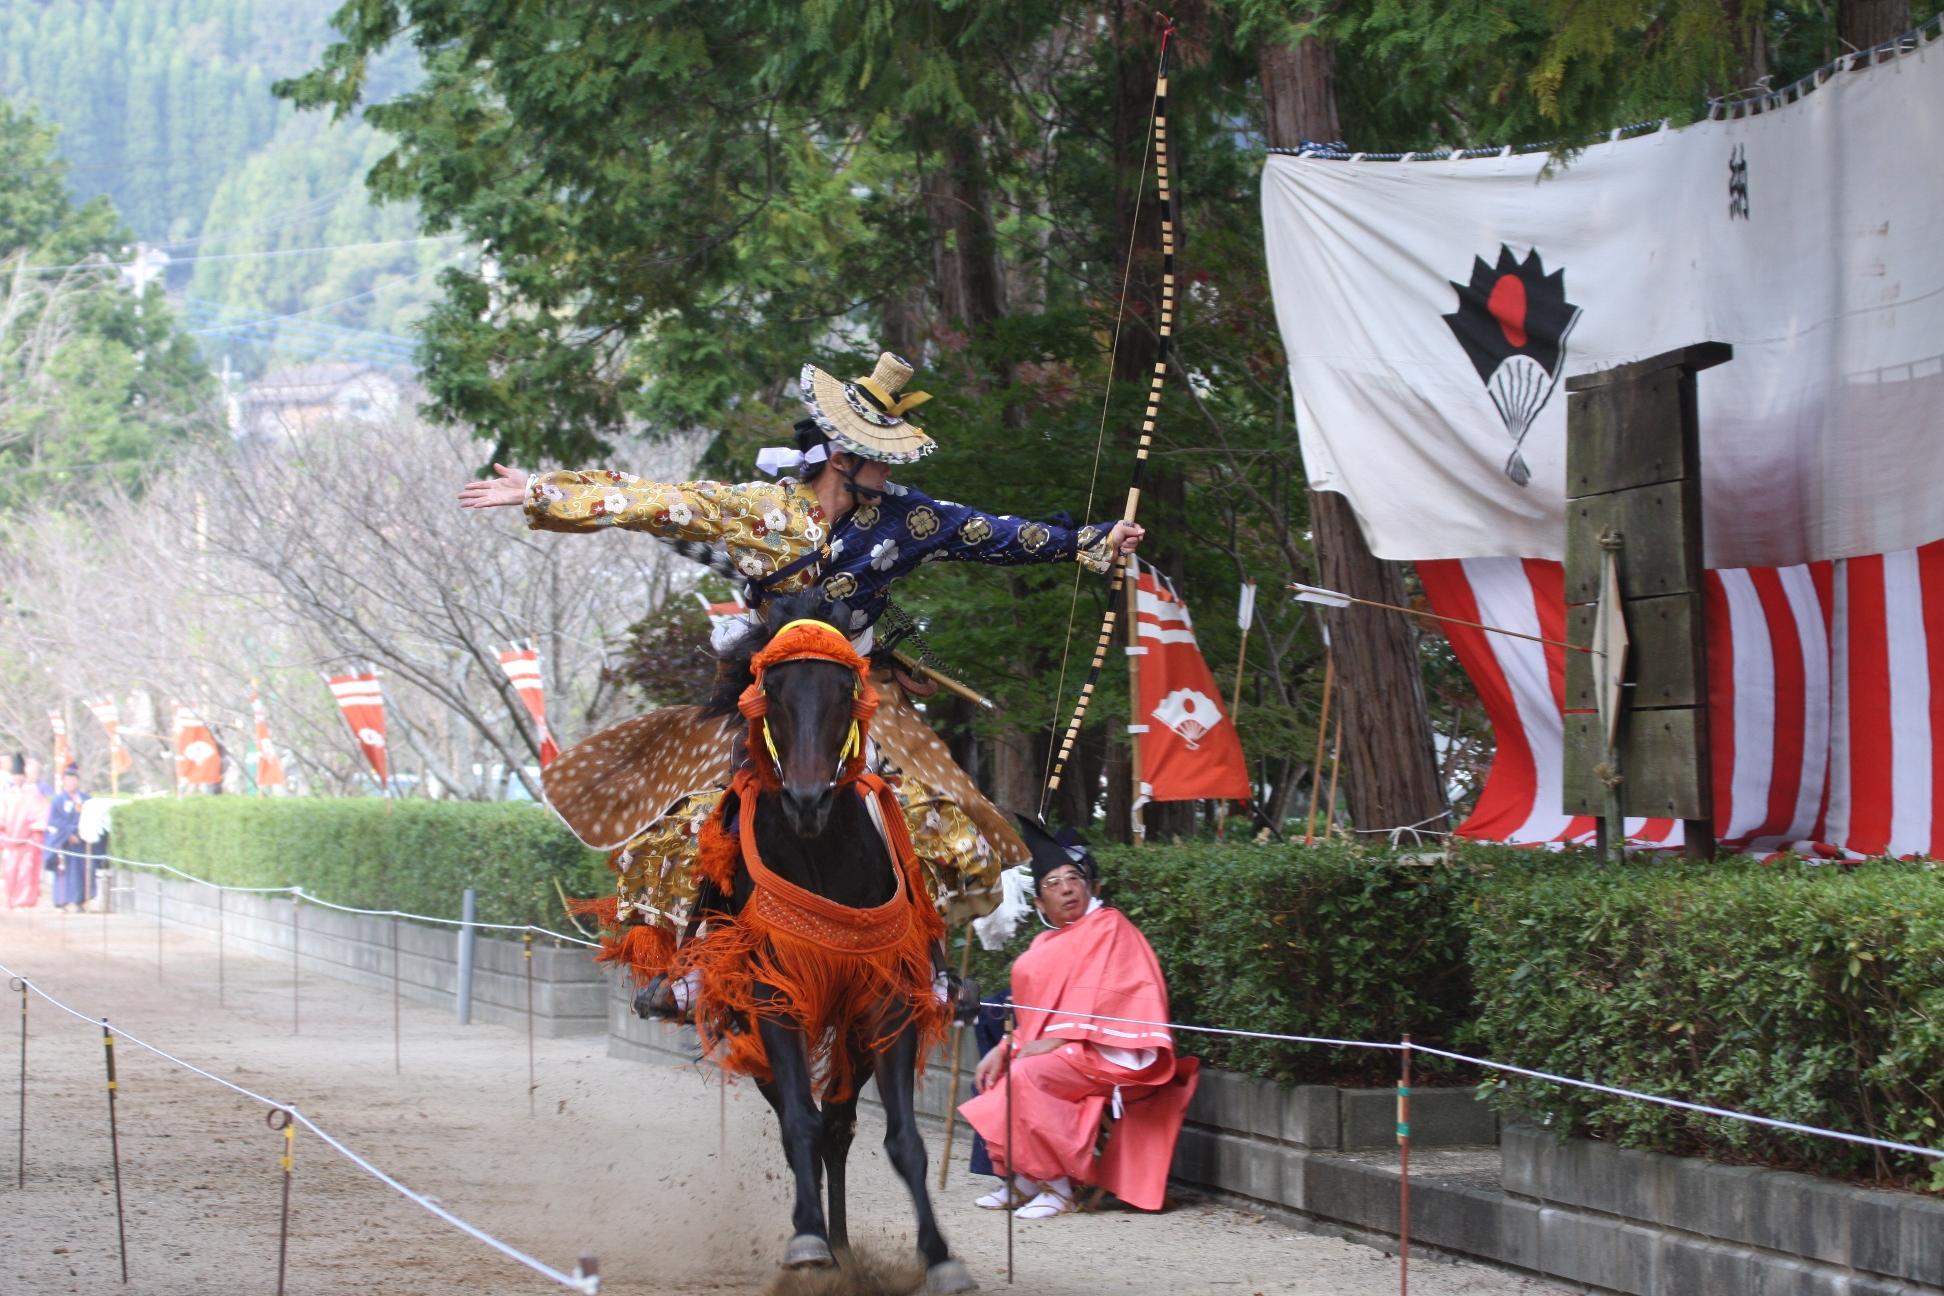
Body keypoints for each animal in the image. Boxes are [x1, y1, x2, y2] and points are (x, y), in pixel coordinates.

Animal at [664, 602, 979, 1296]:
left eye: (842, 691)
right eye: (775, 691)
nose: (806, 799)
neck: (821, 854)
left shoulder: (887, 1000)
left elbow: (902, 1139)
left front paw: (940, 1255)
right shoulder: (772, 996)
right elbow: (798, 1123)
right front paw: (805, 1239)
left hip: (852, 1031)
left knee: (838, 1126)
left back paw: (841, 1245)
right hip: (747, 1023)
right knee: (799, 1120)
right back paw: (819, 1241)